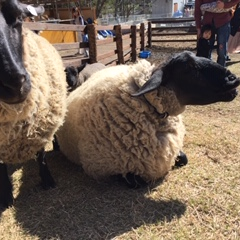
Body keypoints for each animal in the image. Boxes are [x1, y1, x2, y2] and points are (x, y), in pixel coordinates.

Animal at [0, 0, 67, 209]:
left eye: (18, 18)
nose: (15, 85)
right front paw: (6, 196)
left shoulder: (41, 123)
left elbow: (41, 155)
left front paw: (47, 180)